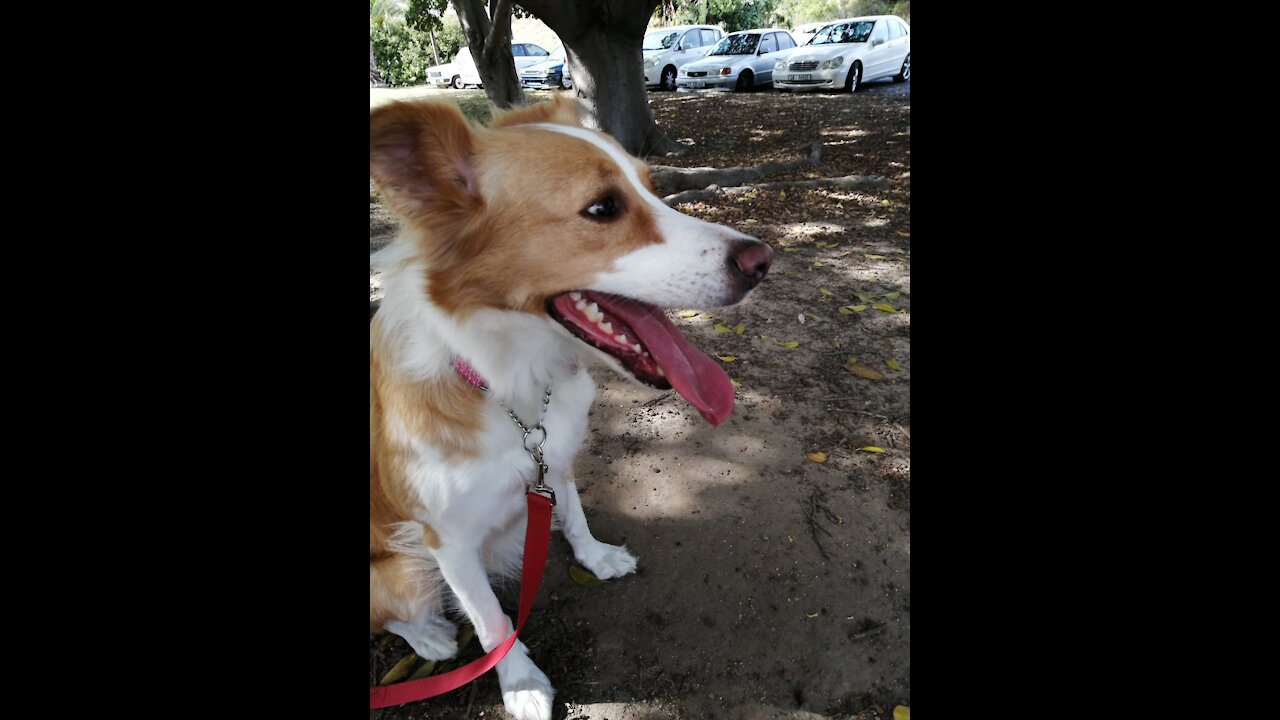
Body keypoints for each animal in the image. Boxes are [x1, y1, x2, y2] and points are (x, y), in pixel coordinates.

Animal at [366, 96, 773, 717]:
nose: (763, 261)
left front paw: (597, 558)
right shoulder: (448, 542)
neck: (510, 385)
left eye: (653, 187)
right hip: (402, 568)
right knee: (394, 611)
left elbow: (576, 516)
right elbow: (492, 621)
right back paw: (431, 636)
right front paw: (520, 683)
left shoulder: (553, 458)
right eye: (602, 208)